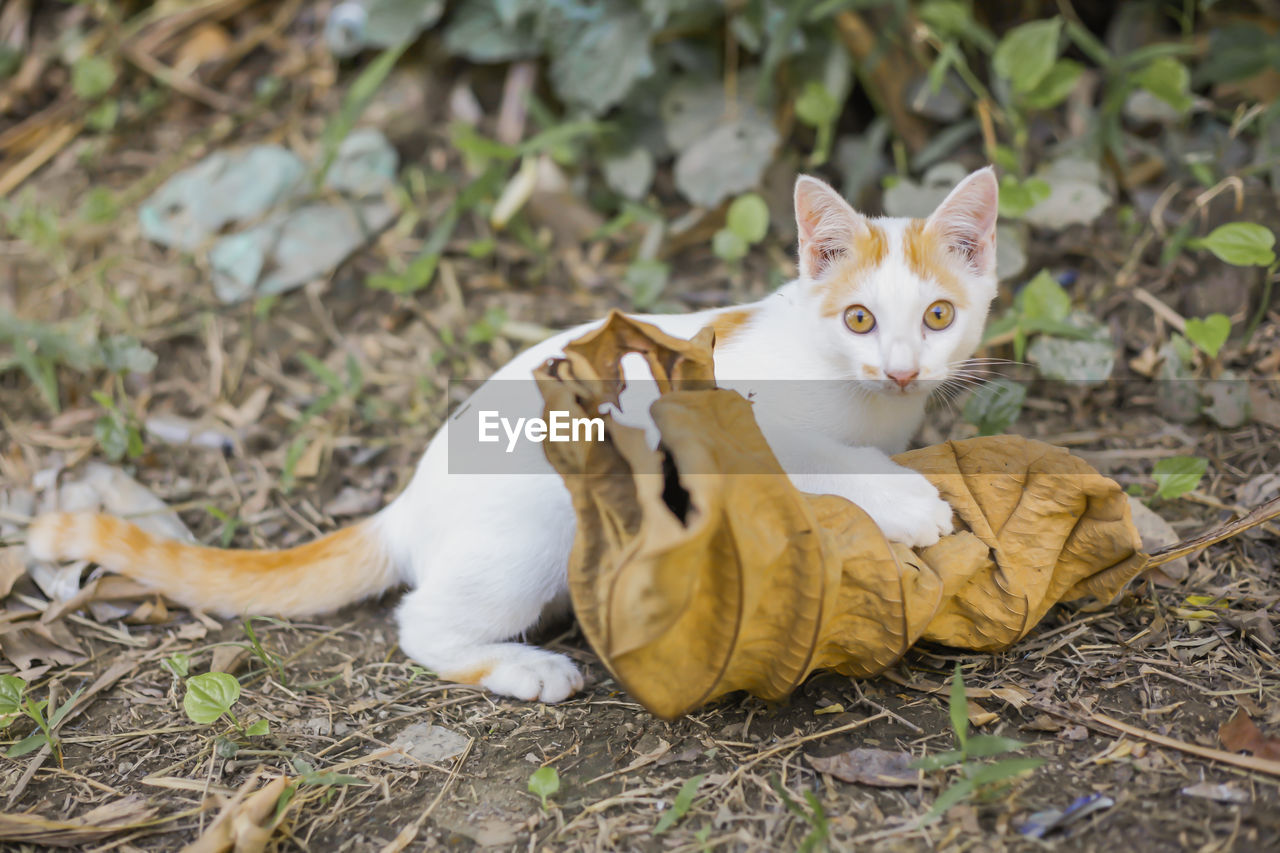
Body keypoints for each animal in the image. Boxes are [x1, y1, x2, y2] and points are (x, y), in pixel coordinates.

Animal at [22, 163, 998, 696]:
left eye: (939, 316)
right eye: (861, 319)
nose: (903, 369)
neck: (860, 393)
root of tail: (407, 503)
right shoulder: (714, 408)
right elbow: (815, 458)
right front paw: (905, 502)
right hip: (534, 527)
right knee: (418, 622)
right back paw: (521, 665)